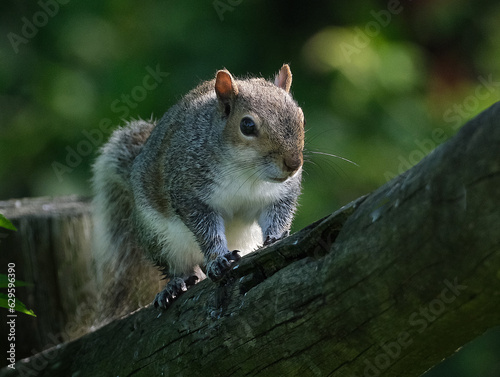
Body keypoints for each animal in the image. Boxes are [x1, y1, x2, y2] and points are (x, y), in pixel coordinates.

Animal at [93, 64, 304, 318]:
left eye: (300, 116)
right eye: (247, 125)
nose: (293, 164)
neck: (247, 172)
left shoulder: (280, 195)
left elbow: (278, 215)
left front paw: (277, 236)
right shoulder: (190, 193)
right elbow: (206, 230)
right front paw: (218, 259)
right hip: (159, 238)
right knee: (177, 267)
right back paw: (175, 285)